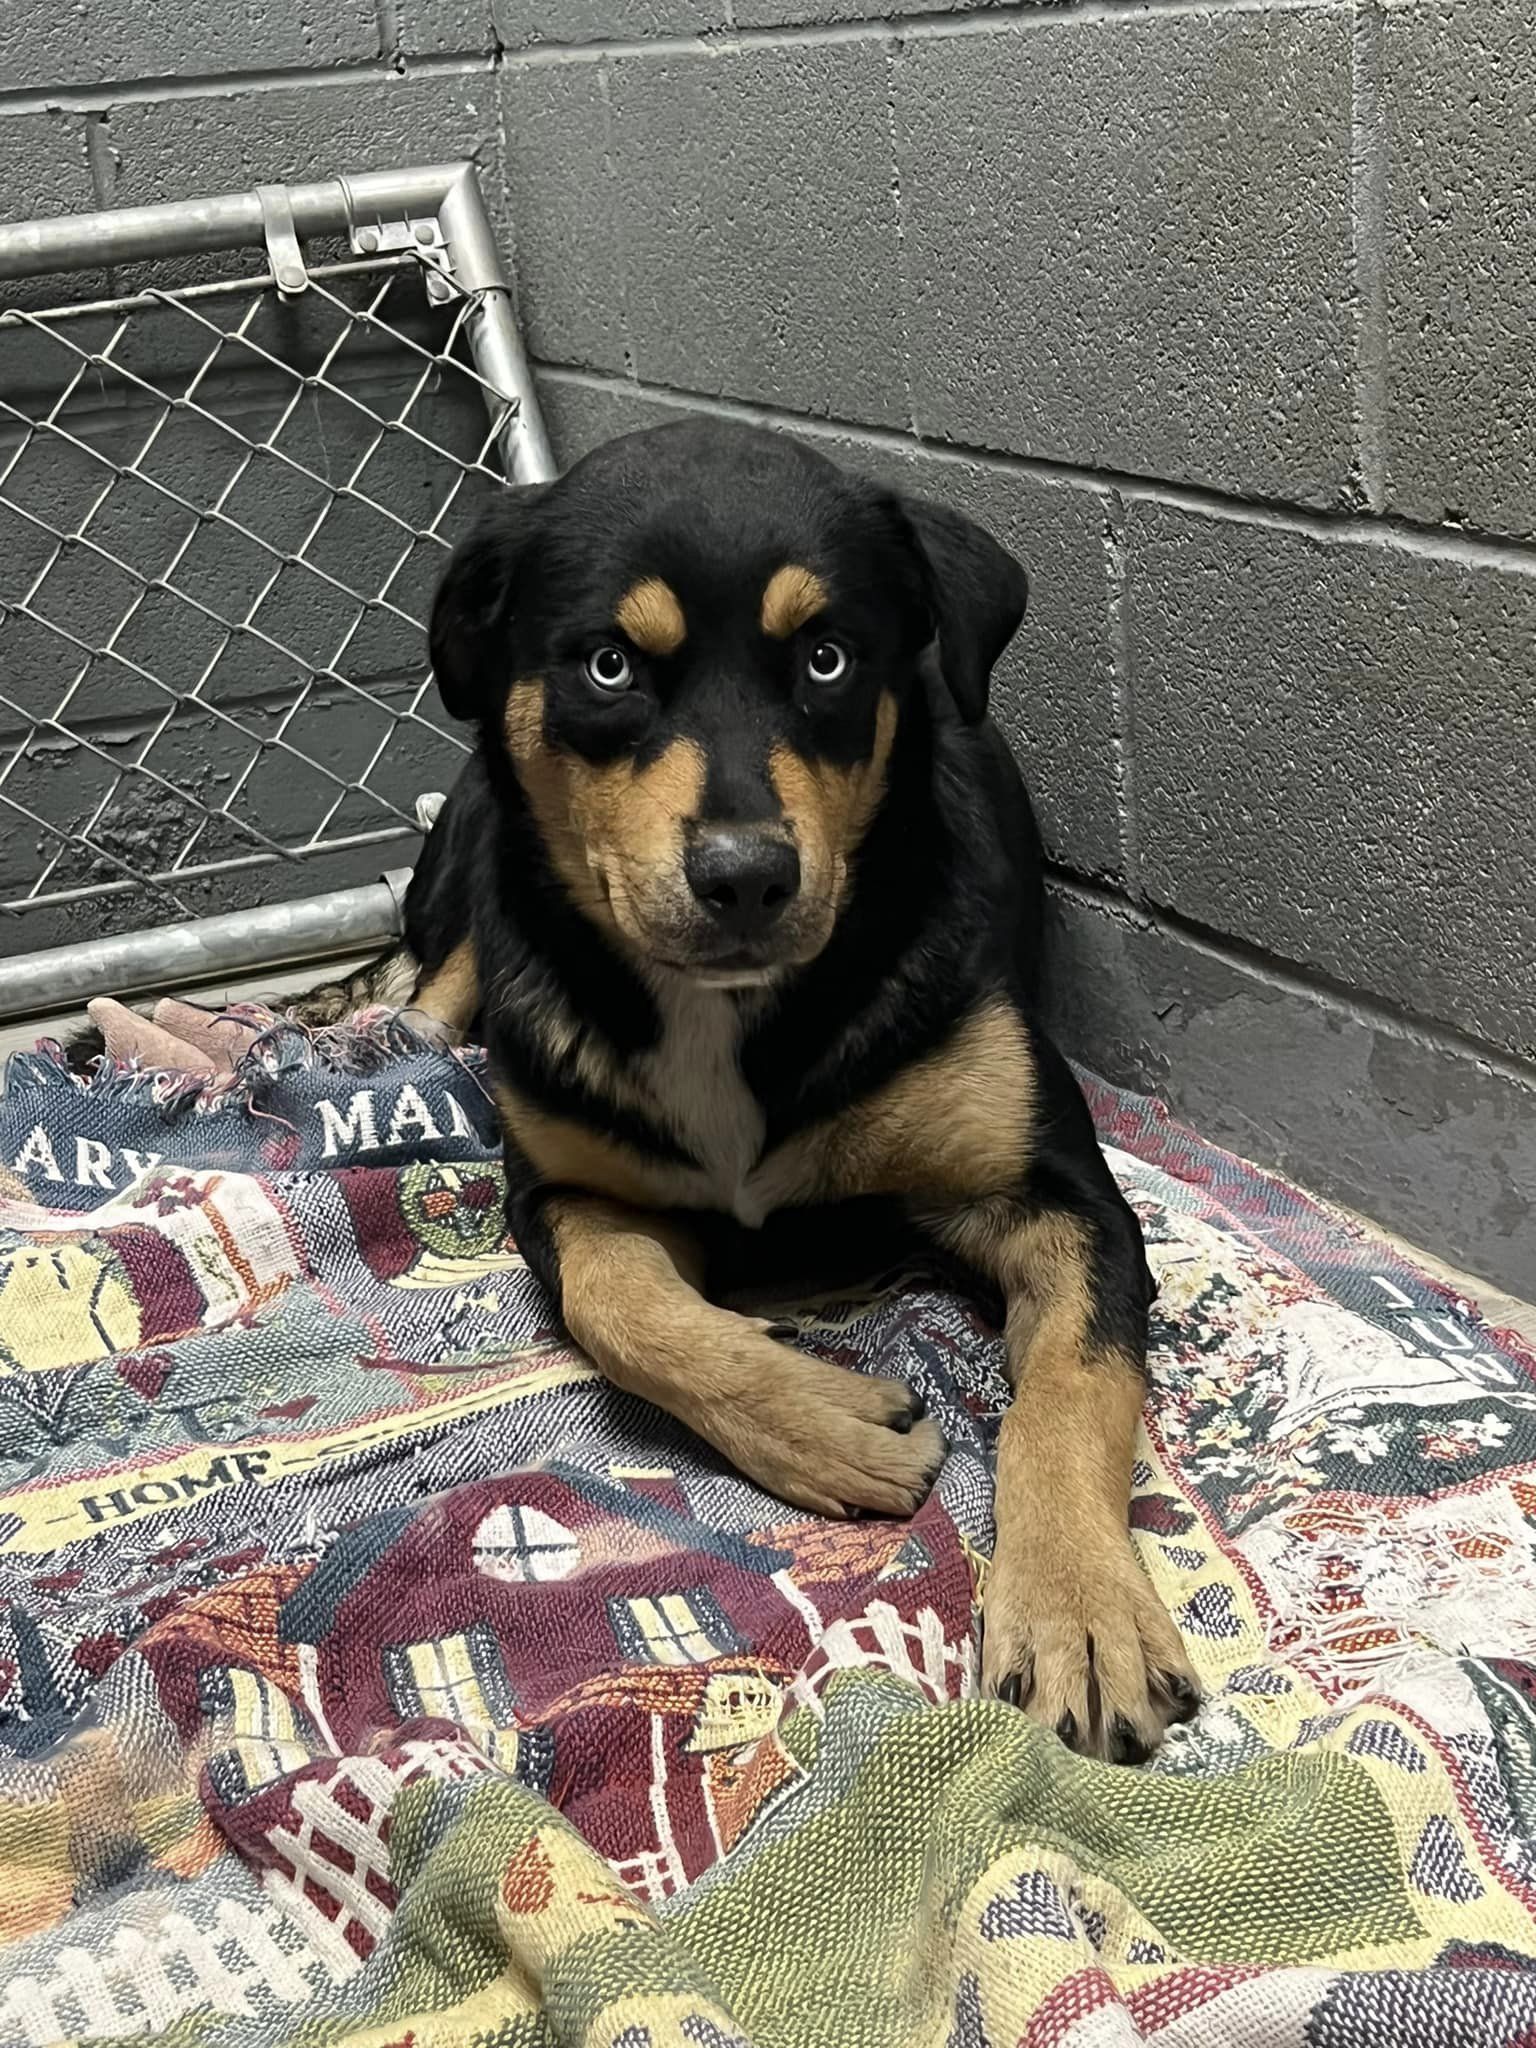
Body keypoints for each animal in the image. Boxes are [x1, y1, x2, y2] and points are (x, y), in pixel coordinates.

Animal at [387, 415, 1204, 1761]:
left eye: (827, 657)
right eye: (608, 664)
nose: (745, 876)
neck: (729, 1014)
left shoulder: (1061, 1197)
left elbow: (1070, 1388)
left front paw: (1079, 1608)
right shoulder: (560, 1189)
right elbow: (624, 1304)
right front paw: (823, 1419)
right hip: (470, 864)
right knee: (435, 972)